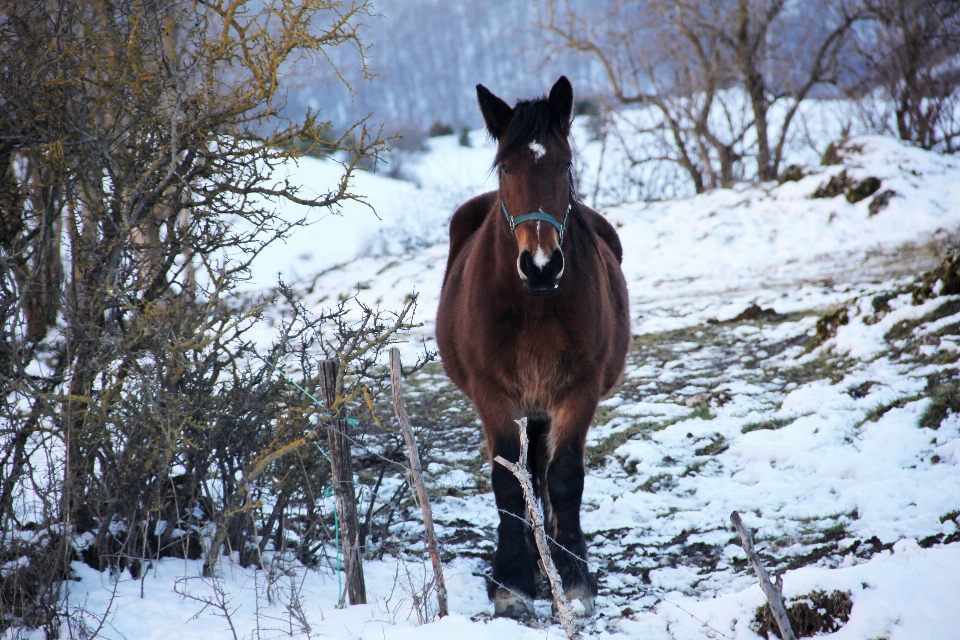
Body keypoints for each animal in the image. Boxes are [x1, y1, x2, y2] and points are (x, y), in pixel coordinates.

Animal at [436, 77, 632, 616]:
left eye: (565, 164)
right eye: (507, 166)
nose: (541, 265)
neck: (535, 305)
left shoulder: (578, 391)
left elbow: (563, 478)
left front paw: (573, 575)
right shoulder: (493, 395)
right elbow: (507, 483)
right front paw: (511, 581)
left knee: (541, 475)